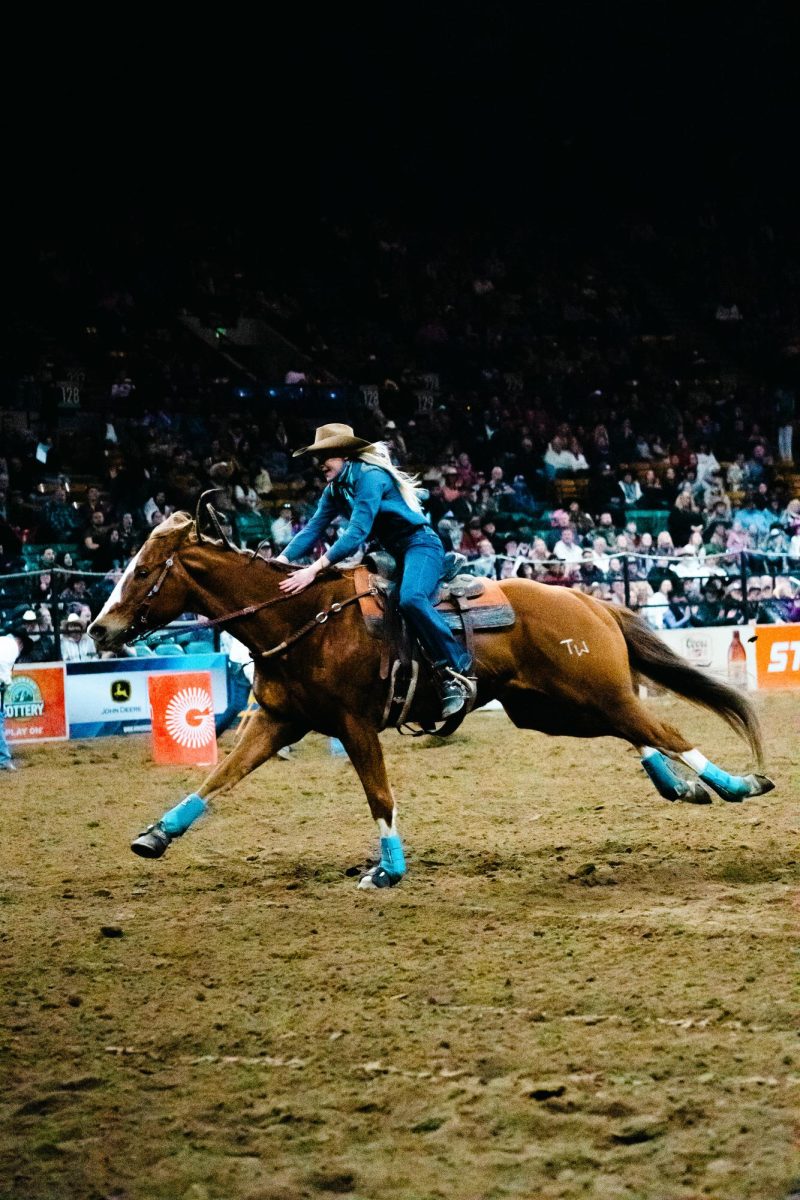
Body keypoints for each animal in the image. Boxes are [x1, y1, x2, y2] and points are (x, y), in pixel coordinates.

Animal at [89, 506, 777, 892]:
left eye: (144, 570)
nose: (98, 629)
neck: (306, 618)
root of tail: (583, 598)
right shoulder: (277, 721)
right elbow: (218, 777)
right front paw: (155, 835)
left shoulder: (353, 725)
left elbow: (379, 796)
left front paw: (387, 870)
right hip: (551, 709)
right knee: (640, 734)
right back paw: (681, 786)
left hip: (591, 692)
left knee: (664, 730)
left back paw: (738, 784)